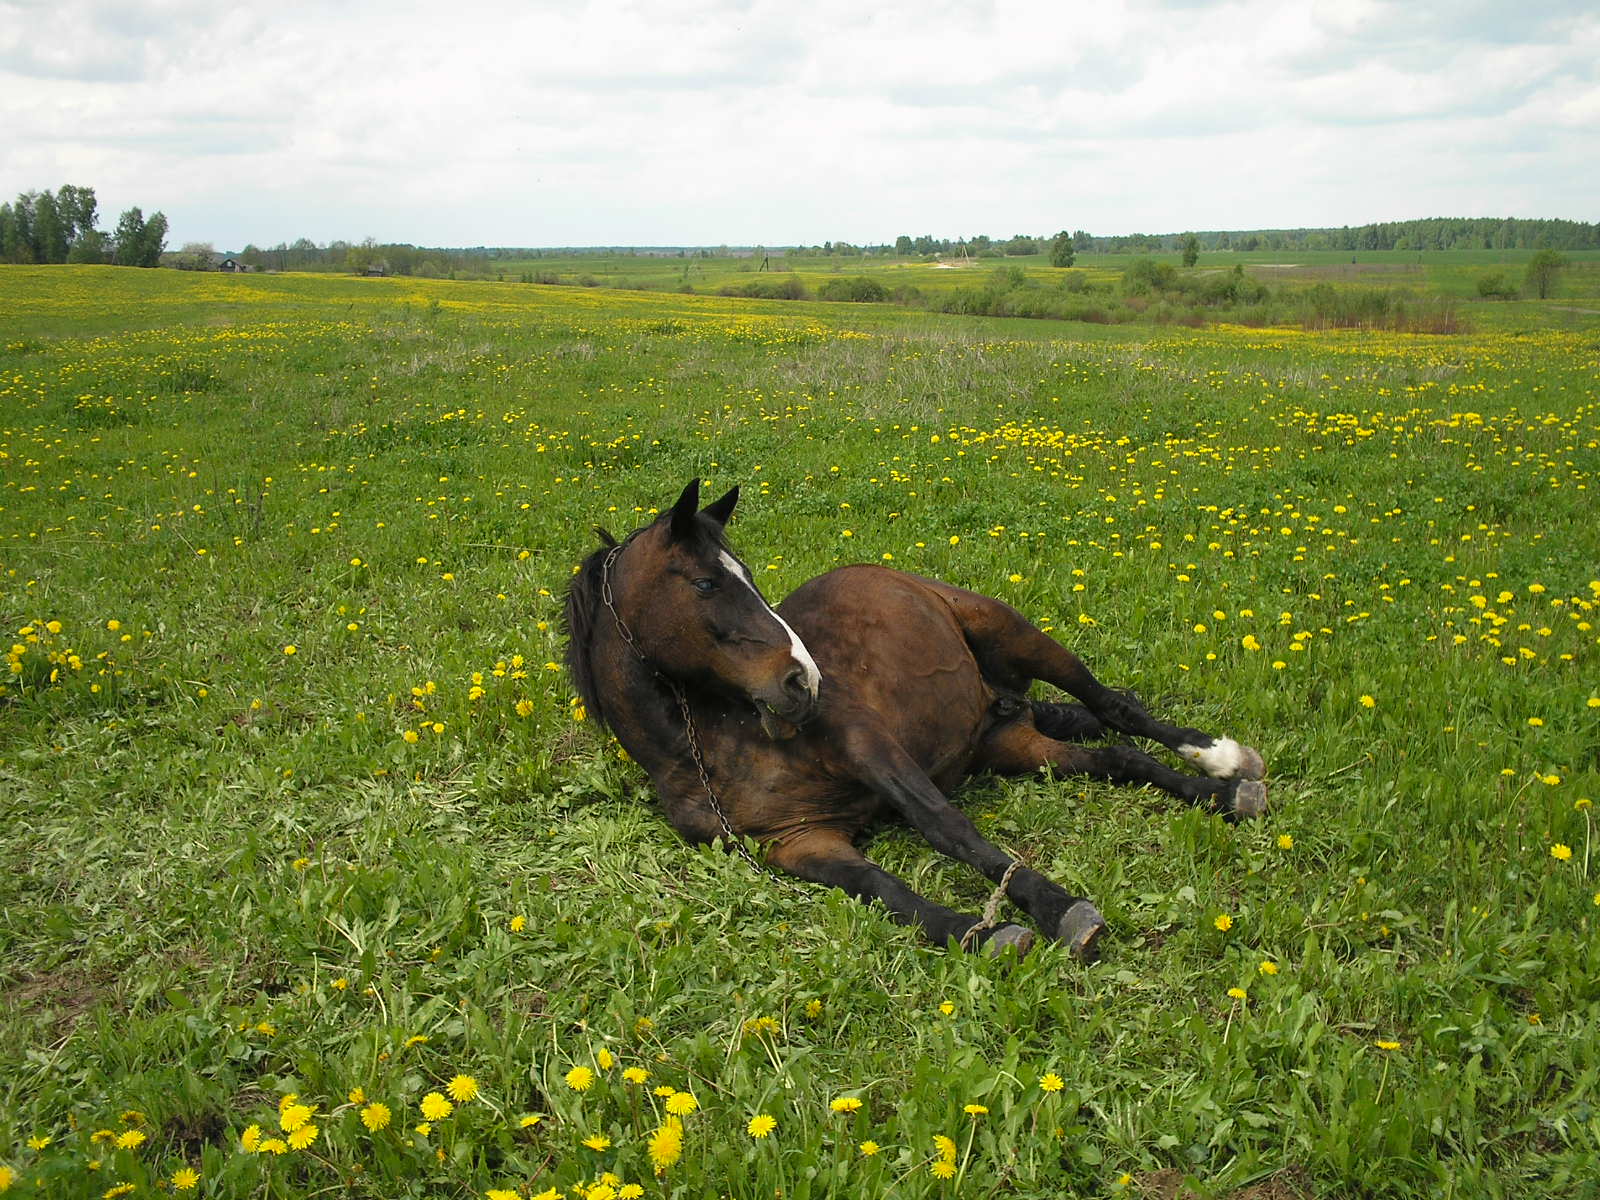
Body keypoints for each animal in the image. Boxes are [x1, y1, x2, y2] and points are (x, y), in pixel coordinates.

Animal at [569, 483, 1267, 966]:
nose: (803, 682)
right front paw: (983, 933)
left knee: (1113, 706)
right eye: (706, 583)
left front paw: (1061, 910)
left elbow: (948, 828)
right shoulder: (797, 843)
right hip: (1009, 744)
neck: (709, 747)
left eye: (747, 577)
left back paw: (1222, 761)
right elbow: (883, 891)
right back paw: (1219, 794)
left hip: (1015, 635)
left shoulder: (870, 747)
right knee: (1114, 756)